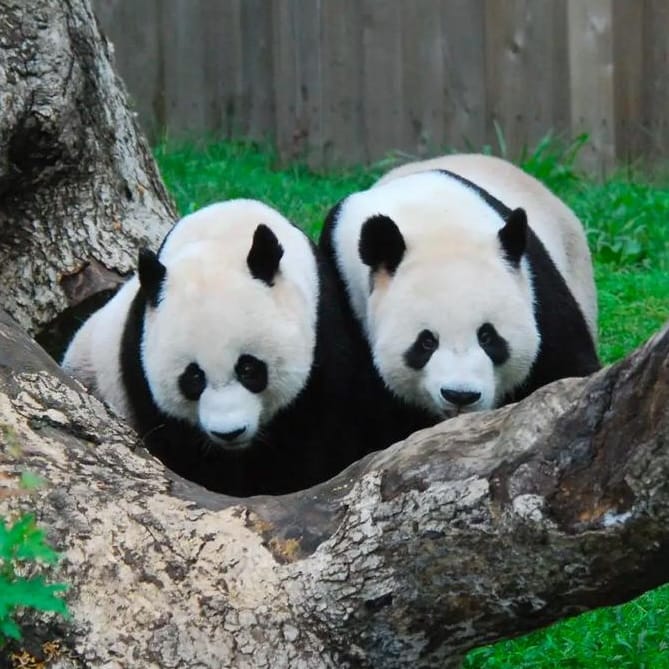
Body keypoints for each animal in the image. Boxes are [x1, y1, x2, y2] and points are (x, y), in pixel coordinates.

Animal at [62, 199, 362, 496]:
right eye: (193, 377)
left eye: (249, 369)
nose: (229, 433)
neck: (222, 235)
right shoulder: (141, 356)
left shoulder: (323, 332)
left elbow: (310, 436)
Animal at [319, 153, 600, 449]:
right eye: (426, 342)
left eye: (487, 336)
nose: (460, 395)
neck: (435, 226)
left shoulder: (536, 288)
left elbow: (565, 367)